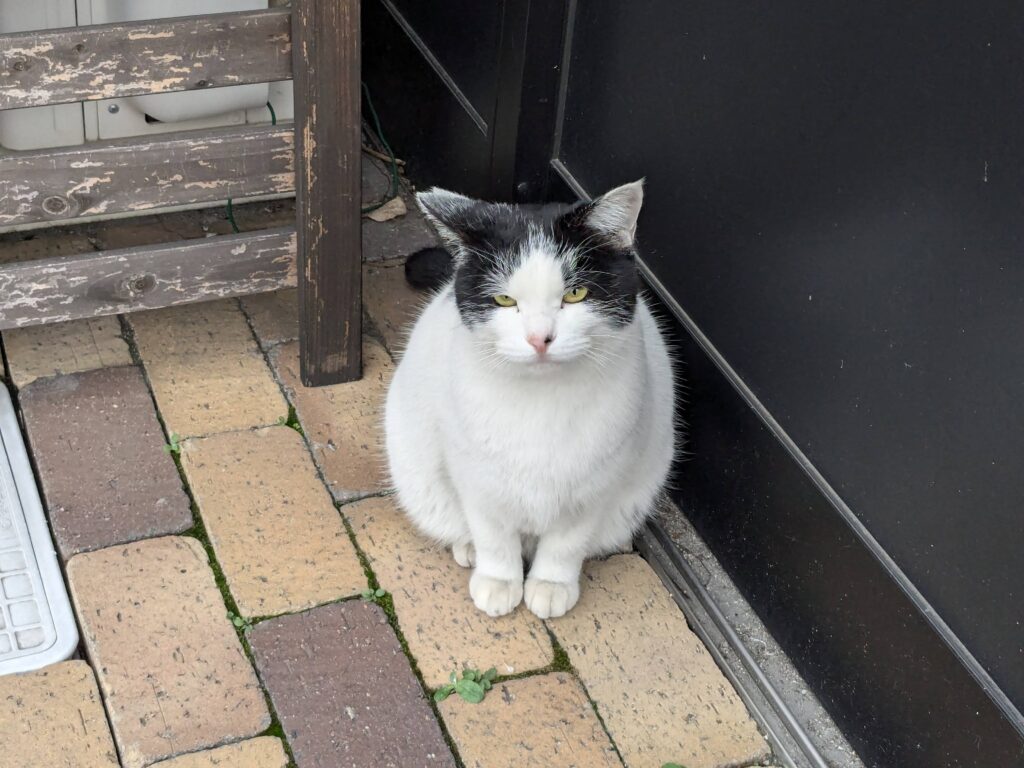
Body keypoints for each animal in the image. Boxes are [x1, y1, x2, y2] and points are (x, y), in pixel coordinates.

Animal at [382, 183, 671, 622]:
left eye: (576, 293)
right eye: (504, 299)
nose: (539, 338)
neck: (540, 400)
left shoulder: (595, 486)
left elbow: (567, 542)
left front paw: (551, 585)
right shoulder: (476, 478)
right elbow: (493, 534)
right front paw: (498, 582)